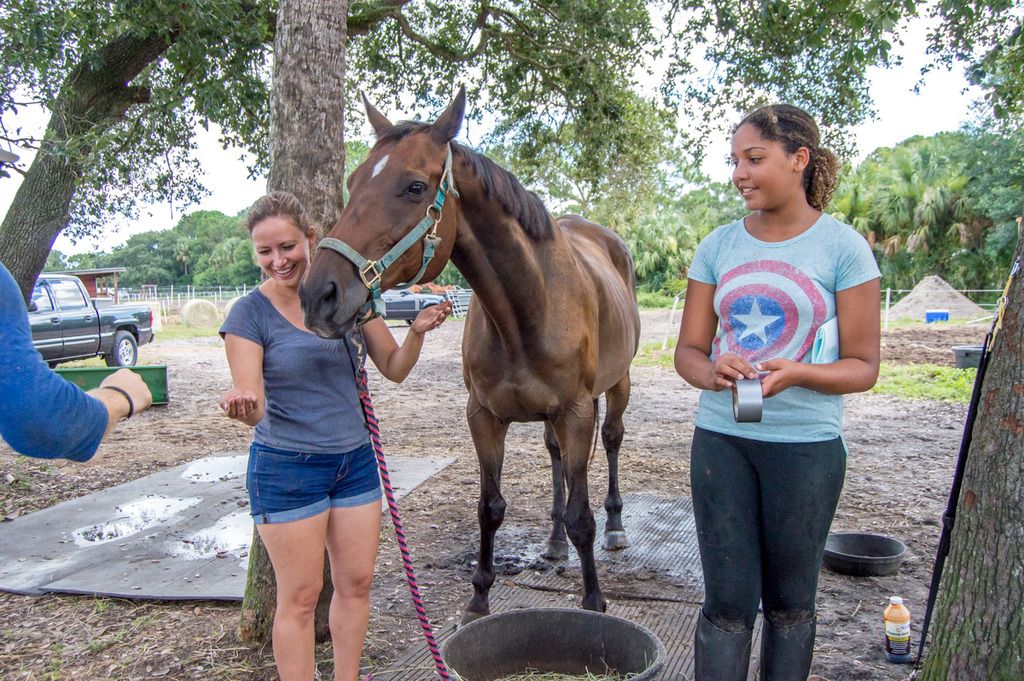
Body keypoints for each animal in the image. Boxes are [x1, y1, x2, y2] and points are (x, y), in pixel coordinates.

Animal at [299, 89, 638, 622]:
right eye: (352, 184)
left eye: (415, 186)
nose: (319, 295)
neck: (525, 310)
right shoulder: (483, 416)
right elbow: (490, 507)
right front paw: (479, 596)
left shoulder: (576, 412)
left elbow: (583, 514)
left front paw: (593, 601)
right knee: (555, 457)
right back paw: (554, 542)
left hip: (616, 387)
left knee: (612, 441)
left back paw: (617, 527)